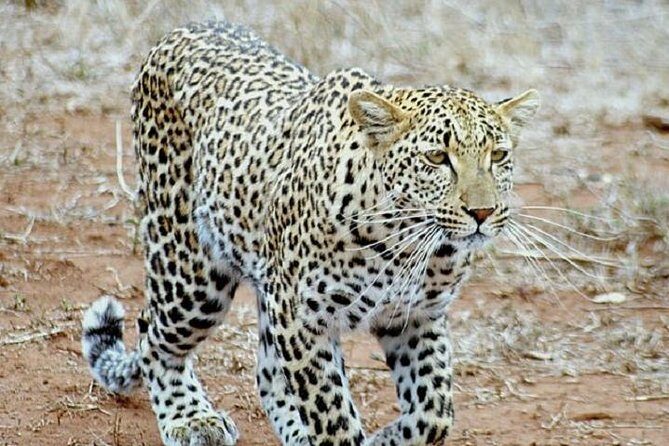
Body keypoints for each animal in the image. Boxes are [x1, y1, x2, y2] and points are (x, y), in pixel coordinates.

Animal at [81, 20, 539, 446]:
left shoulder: (416, 316)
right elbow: (331, 414)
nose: (482, 212)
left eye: (498, 155)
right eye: (437, 158)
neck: (407, 241)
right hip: (191, 272)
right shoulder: (302, 319)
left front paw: (381, 440)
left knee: (265, 372)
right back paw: (191, 419)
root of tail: (183, 28)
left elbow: (433, 413)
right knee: (154, 335)